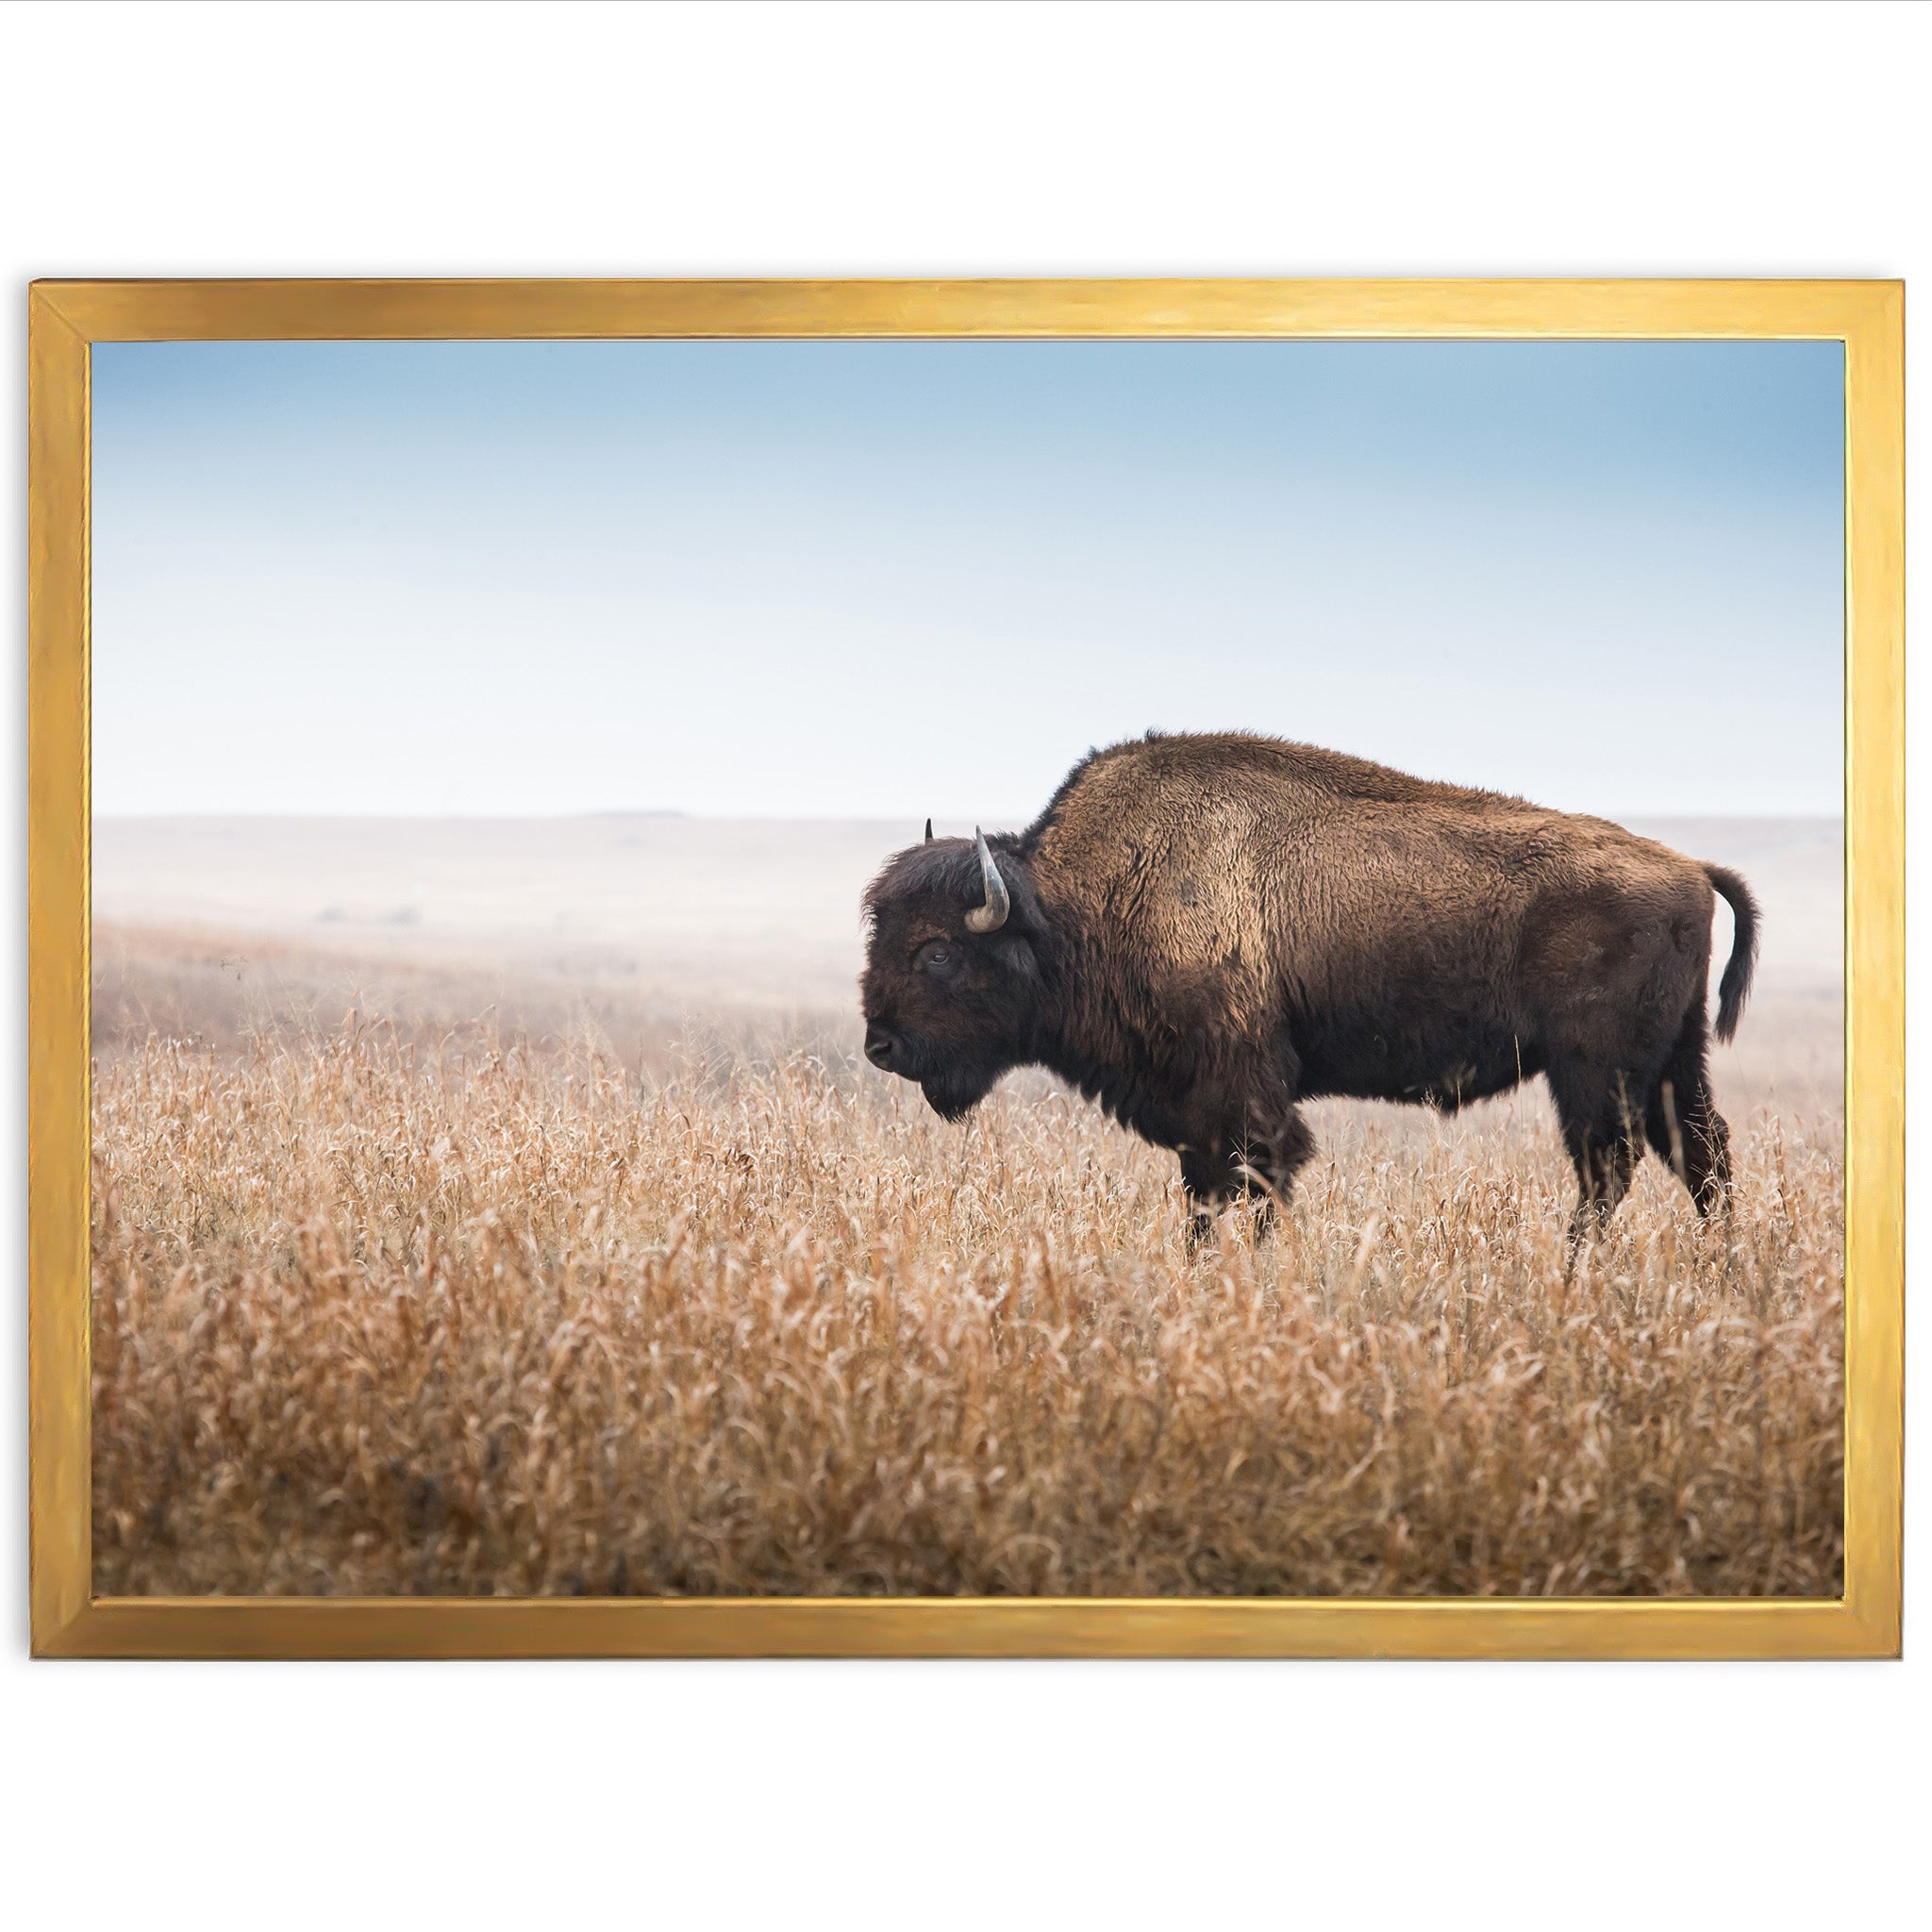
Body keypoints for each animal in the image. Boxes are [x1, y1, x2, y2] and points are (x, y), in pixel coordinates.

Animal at [858, 730, 1754, 1243]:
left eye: (936, 953)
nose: (880, 1045)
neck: (1072, 906)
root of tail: (1689, 868)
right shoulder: (1196, 1115)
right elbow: (1205, 1200)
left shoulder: (1241, 1097)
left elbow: (1253, 1186)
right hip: (1672, 1064)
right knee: (1701, 1158)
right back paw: (1720, 1272)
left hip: (1595, 1072)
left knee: (1610, 1170)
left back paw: (1575, 1273)